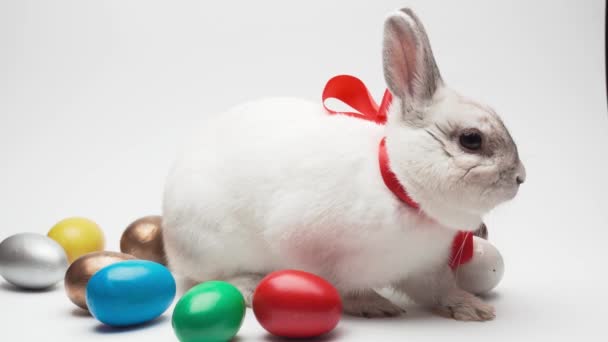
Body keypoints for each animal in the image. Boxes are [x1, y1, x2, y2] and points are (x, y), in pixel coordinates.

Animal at [162, 8, 524, 320]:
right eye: (471, 139)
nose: (521, 178)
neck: (397, 185)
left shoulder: (424, 268)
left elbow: (439, 290)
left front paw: (473, 309)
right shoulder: (308, 249)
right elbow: (342, 288)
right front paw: (375, 305)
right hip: (210, 246)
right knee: (211, 277)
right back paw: (250, 287)